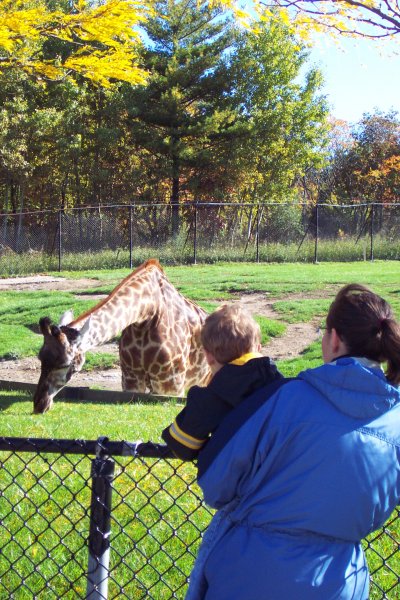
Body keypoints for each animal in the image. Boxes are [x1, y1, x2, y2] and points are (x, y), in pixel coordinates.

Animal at [32, 260, 211, 414]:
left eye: (64, 364)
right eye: (40, 359)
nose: (39, 404)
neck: (146, 315)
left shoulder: (170, 383)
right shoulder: (130, 379)